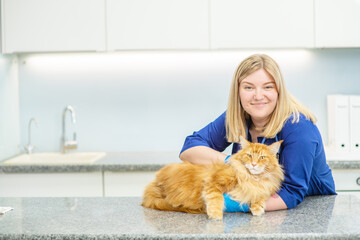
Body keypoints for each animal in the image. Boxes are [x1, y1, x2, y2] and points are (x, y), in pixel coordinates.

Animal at [141, 136, 284, 218]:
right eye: (249, 155)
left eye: (262, 157)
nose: (253, 164)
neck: (252, 178)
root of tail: (154, 183)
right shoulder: (213, 182)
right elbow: (216, 198)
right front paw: (215, 215)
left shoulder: (264, 188)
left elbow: (260, 196)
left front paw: (258, 207)